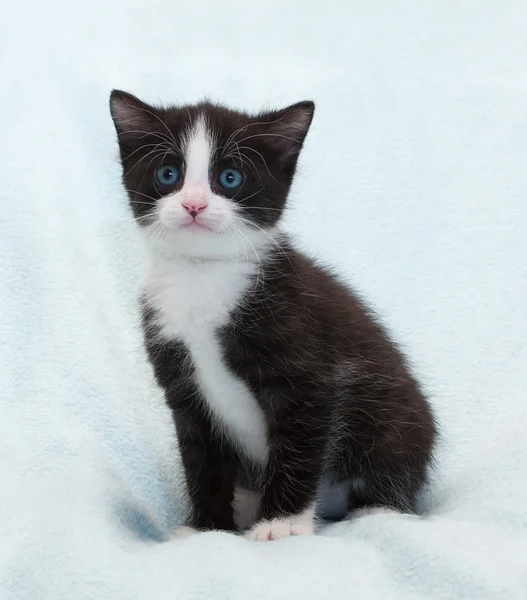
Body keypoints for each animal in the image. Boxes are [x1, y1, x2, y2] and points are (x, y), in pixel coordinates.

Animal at [109, 90, 436, 544]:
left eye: (230, 178)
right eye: (168, 173)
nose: (194, 205)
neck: (202, 277)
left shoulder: (307, 371)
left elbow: (298, 446)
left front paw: (280, 524)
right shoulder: (181, 380)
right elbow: (201, 460)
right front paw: (206, 527)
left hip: (396, 419)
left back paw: (377, 509)